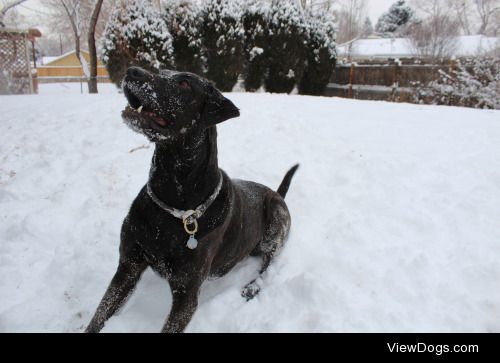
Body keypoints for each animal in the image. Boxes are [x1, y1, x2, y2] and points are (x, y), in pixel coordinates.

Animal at [85, 67, 296, 334]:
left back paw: (252, 286)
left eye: (184, 84)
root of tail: (278, 192)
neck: (172, 199)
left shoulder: (187, 294)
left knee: (268, 262)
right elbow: (99, 315)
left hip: (275, 221)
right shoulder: (128, 267)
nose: (133, 70)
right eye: (161, 70)